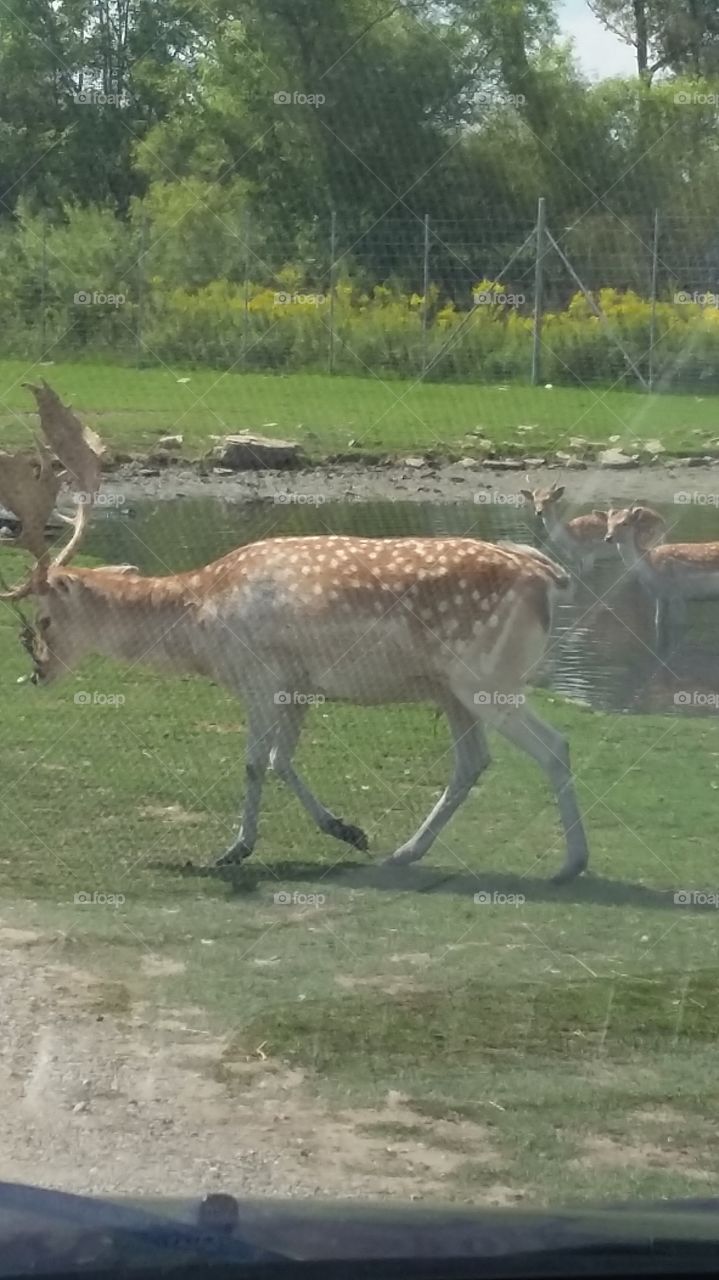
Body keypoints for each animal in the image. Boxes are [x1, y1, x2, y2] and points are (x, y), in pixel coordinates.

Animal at [1, 378, 588, 880]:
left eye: (45, 618)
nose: (38, 674)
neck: (200, 621)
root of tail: (548, 575)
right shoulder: (298, 685)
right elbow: (281, 761)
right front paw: (348, 830)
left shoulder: (260, 677)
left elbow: (253, 763)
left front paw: (235, 849)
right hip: (451, 690)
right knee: (472, 763)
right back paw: (405, 852)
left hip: (487, 677)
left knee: (554, 745)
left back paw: (571, 864)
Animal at [603, 504, 716, 650]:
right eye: (608, 523)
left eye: (624, 523)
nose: (608, 537)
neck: (650, 568)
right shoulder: (660, 596)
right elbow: (658, 622)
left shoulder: (678, 594)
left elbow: (680, 626)